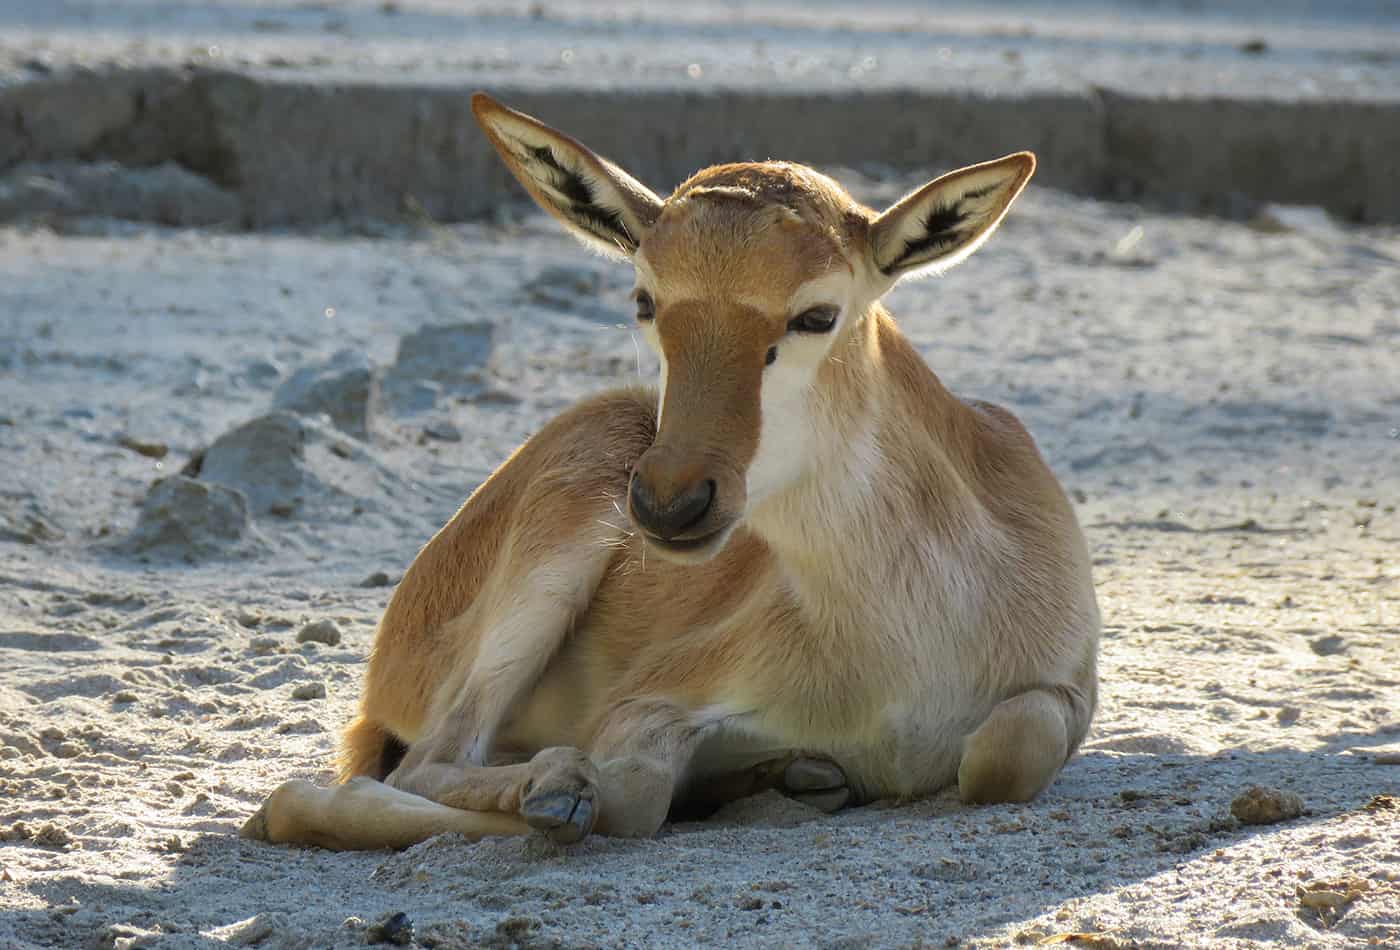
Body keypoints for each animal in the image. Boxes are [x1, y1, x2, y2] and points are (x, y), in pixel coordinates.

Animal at [240, 93, 1097, 850]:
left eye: (818, 313)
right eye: (646, 299)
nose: (669, 503)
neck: (903, 650)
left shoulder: (1055, 697)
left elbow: (1004, 755)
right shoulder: (649, 704)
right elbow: (629, 795)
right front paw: (566, 788)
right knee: (403, 768)